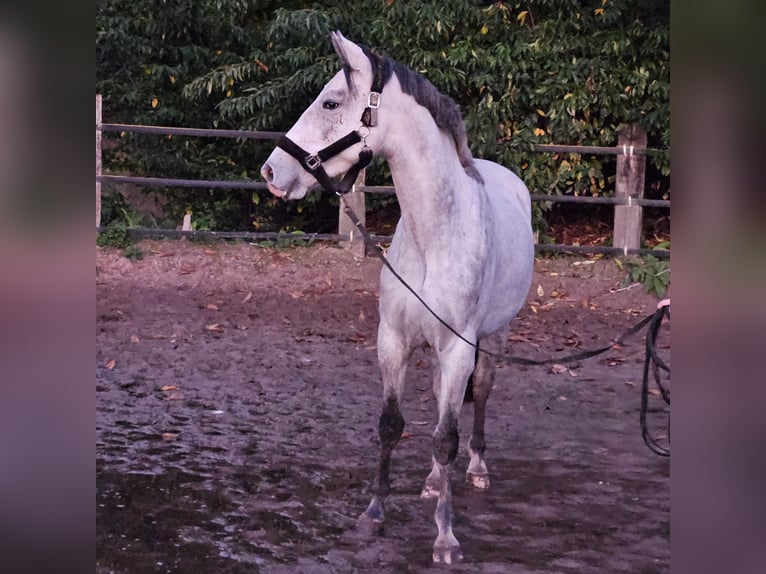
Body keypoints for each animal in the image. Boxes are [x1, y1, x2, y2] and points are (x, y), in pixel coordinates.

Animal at [260, 30, 536, 564]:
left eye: (330, 101)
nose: (271, 172)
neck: (436, 236)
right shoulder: (393, 341)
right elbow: (393, 425)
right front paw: (374, 514)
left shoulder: (459, 348)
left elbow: (447, 436)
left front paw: (446, 538)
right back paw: (431, 481)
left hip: (494, 339)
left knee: (478, 400)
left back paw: (476, 469)